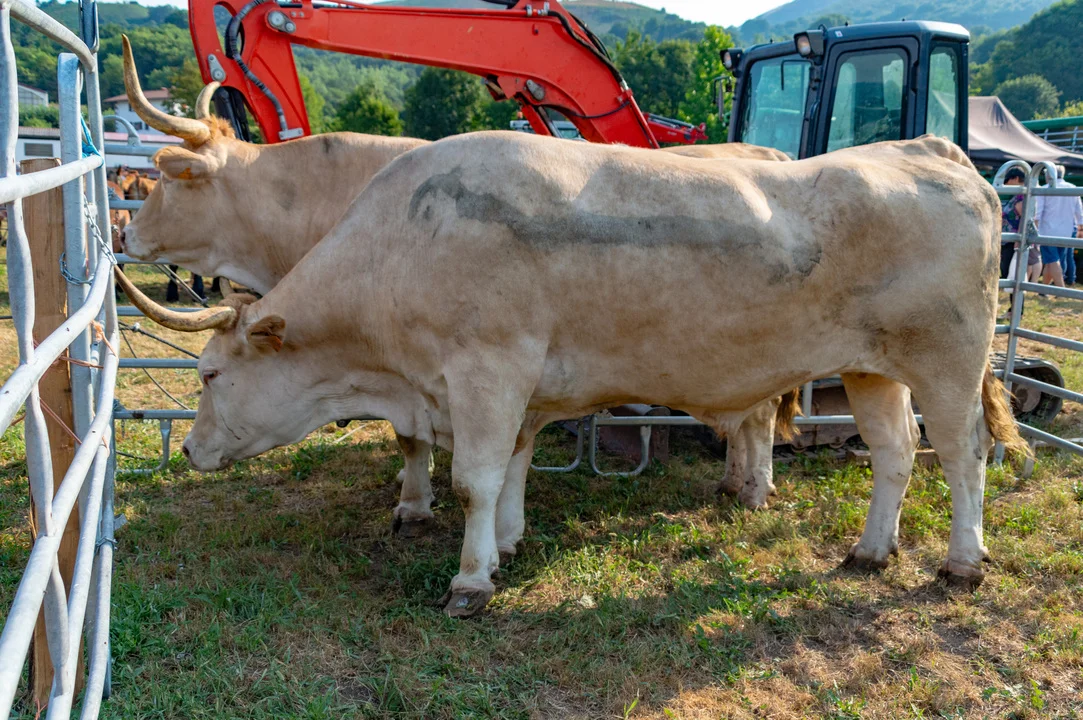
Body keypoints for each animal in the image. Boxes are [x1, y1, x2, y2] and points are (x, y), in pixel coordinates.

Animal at [115, 36, 796, 520]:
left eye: (167, 177)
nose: (122, 236)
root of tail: (765, 151)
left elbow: (415, 442)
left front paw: (414, 500)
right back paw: (734, 479)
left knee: (761, 411)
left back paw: (753, 488)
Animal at [116, 129, 1026, 618]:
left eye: (208, 376)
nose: (190, 452)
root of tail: (926, 149)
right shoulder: (511, 388)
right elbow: (512, 469)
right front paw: (508, 545)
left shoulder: (485, 370)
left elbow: (473, 480)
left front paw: (470, 580)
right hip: (873, 369)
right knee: (894, 455)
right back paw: (870, 551)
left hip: (946, 362)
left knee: (962, 455)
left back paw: (961, 561)